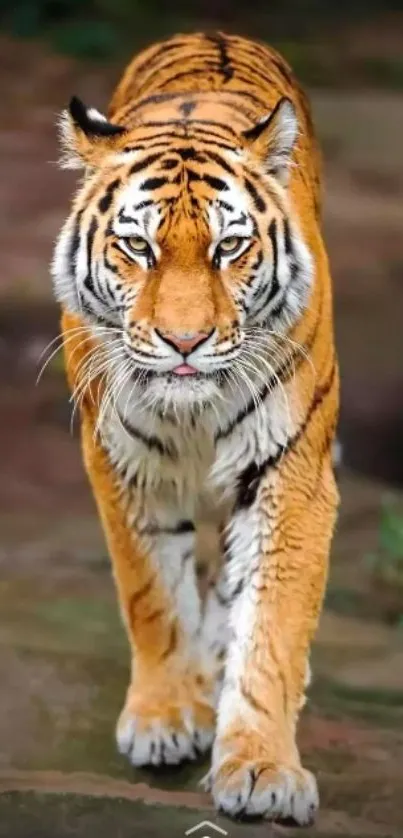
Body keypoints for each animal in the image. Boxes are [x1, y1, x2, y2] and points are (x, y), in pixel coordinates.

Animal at [52, 31, 340, 828]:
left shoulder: (290, 475)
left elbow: (272, 626)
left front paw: (263, 768)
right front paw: (161, 719)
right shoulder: (123, 465)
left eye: (227, 248)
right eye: (139, 248)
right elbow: (151, 595)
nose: (185, 341)